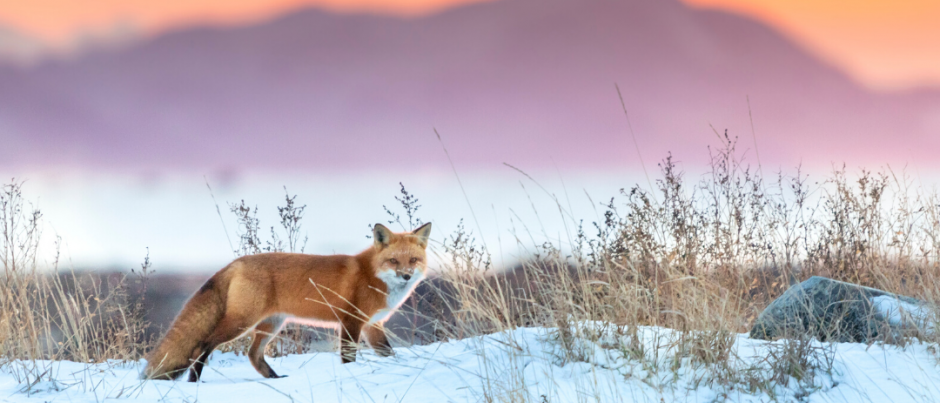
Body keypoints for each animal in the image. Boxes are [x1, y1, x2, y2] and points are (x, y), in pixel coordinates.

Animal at [141, 223, 432, 384]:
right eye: (393, 261)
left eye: (413, 260)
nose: (406, 275)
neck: (372, 275)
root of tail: (235, 263)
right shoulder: (350, 321)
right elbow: (349, 358)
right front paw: (351, 374)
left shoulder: (373, 325)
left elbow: (389, 354)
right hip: (241, 323)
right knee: (201, 346)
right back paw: (194, 382)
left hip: (271, 324)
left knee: (253, 354)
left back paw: (274, 379)